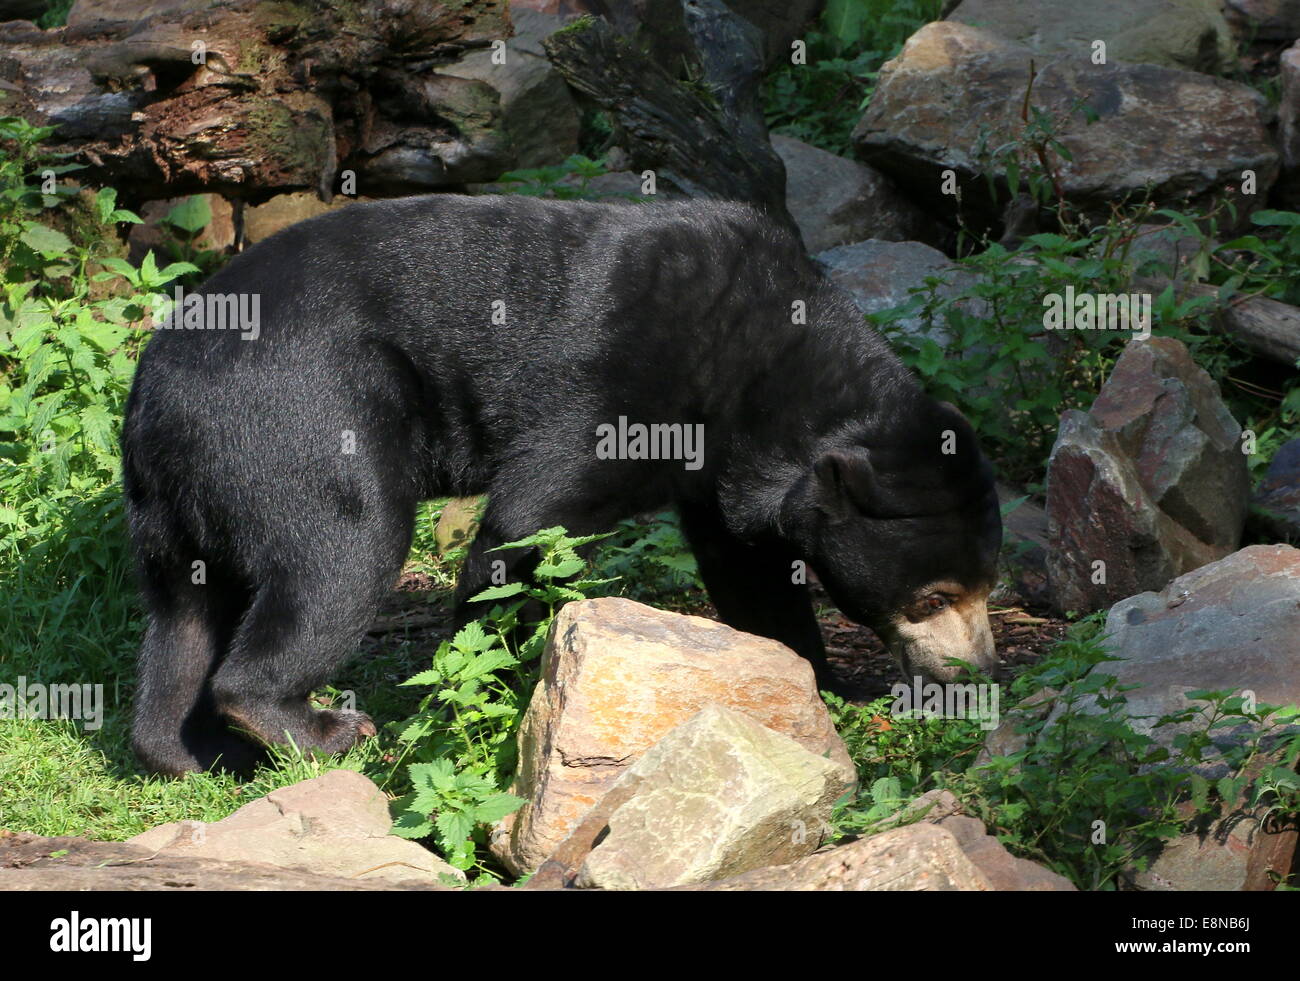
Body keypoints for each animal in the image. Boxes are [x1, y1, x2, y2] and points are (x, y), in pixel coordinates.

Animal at [121, 194, 1002, 776]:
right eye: (934, 596)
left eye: (987, 585)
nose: (978, 668)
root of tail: (153, 398)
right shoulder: (622, 384)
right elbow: (526, 524)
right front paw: (484, 693)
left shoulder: (722, 468)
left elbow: (750, 574)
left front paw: (827, 682)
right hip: (297, 420)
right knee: (340, 555)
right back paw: (321, 728)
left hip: (177, 506)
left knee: (184, 618)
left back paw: (194, 751)